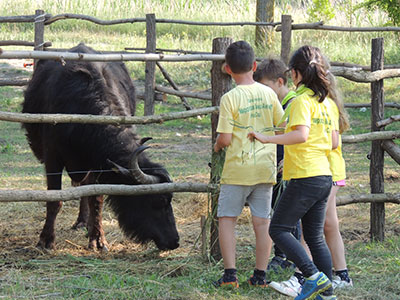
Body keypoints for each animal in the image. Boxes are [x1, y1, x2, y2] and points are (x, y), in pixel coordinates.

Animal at [21, 42, 179, 251]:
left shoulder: (97, 164)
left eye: (170, 199)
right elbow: (55, 200)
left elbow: (95, 199)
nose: (175, 241)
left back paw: (85, 222)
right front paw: (46, 239)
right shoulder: (52, 158)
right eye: (158, 200)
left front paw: (97, 239)